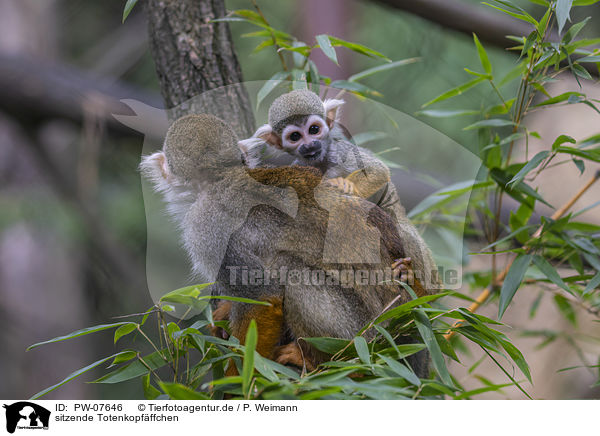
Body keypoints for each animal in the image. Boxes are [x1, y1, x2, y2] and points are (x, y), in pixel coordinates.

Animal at [142, 113, 428, 374]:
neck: (221, 178)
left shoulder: (206, 229)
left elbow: (261, 297)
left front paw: (238, 382)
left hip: (364, 334)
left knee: (290, 268)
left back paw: (318, 359)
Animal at [239, 88, 440, 292]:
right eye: (295, 136)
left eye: (314, 130)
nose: (310, 145)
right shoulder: (298, 166)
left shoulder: (340, 150)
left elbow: (378, 171)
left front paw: (348, 187)